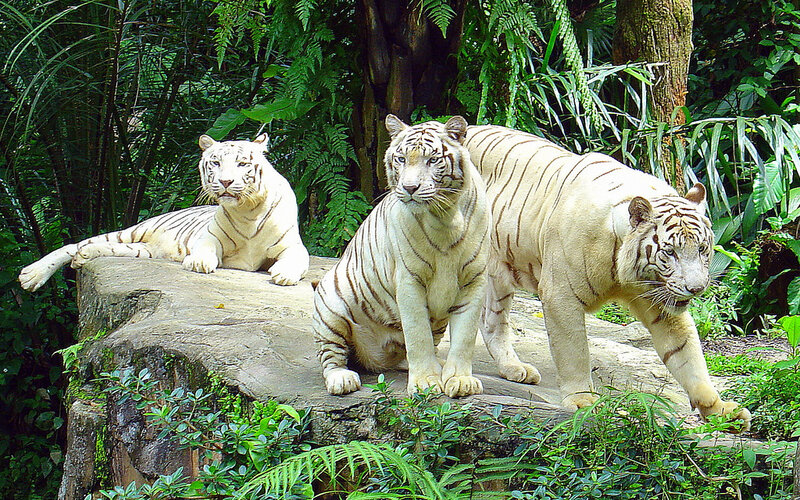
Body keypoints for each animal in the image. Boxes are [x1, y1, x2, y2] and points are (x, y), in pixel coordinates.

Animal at [19, 133, 309, 291]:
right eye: (216, 163)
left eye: (242, 164)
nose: (226, 182)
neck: (247, 211)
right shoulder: (209, 237)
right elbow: (205, 249)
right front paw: (199, 262)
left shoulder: (292, 245)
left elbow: (298, 259)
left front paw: (284, 274)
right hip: (132, 232)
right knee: (74, 245)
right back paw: (31, 275)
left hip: (143, 249)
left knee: (100, 248)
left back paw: (84, 257)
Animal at [313, 115, 490, 398]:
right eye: (401, 159)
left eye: (432, 160)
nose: (409, 187)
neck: (445, 218)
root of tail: (376, 359)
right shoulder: (409, 281)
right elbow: (417, 334)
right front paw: (426, 382)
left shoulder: (474, 280)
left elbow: (465, 336)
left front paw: (460, 380)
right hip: (330, 306)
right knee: (331, 356)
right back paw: (342, 379)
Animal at [463, 124, 751, 431]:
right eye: (670, 251)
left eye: (702, 249)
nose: (696, 288)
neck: (626, 272)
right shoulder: (560, 295)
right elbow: (574, 351)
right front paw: (582, 401)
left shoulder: (661, 304)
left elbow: (688, 356)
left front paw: (721, 410)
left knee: (490, 320)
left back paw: (515, 368)